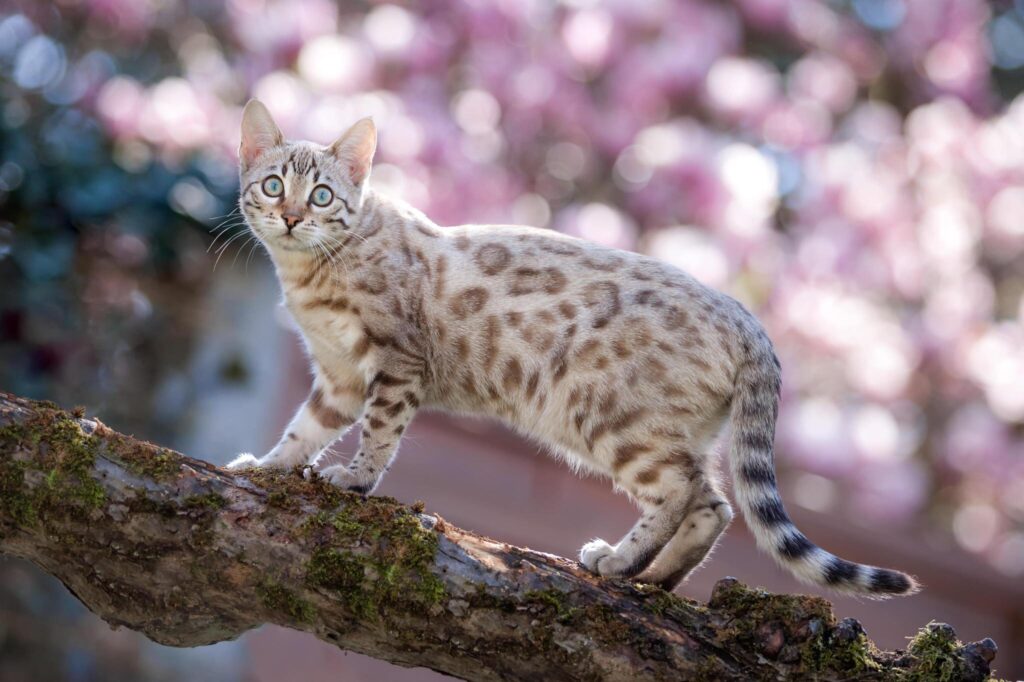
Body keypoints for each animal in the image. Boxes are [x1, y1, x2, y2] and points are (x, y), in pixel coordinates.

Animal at [228, 99, 917, 593]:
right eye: (273, 186)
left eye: (321, 195)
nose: (292, 217)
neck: (309, 276)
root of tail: (747, 318)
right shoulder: (340, 377)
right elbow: (303, 429)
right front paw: (263, 467)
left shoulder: (397, 362)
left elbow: (378, 434)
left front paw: (354, 480)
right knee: (716, 504)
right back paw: (654, 579)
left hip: (608, 418)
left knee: (682, 490)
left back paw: (617, 562)